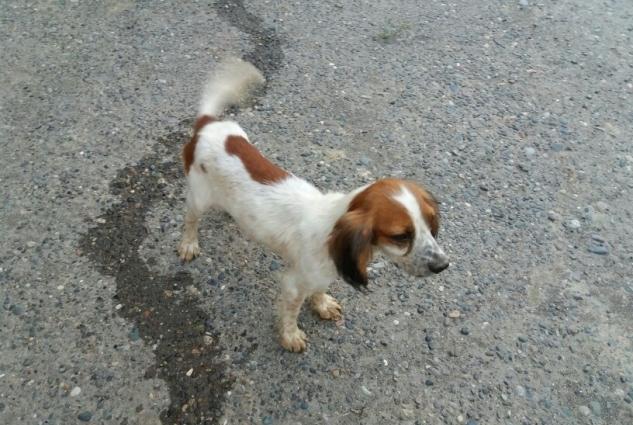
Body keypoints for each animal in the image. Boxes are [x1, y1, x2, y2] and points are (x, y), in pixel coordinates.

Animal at [178, 58, 449, 352]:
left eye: (430, 223)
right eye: (400, 236)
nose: (443, 265)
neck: (331, 228)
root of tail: (207, 125)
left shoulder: (325, 272)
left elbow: (319, 290)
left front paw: (322, 305)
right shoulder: (293, 284)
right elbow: (291, 312)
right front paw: (291, 336)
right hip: (199, 197)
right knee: (190, 219)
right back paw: (188, 244)